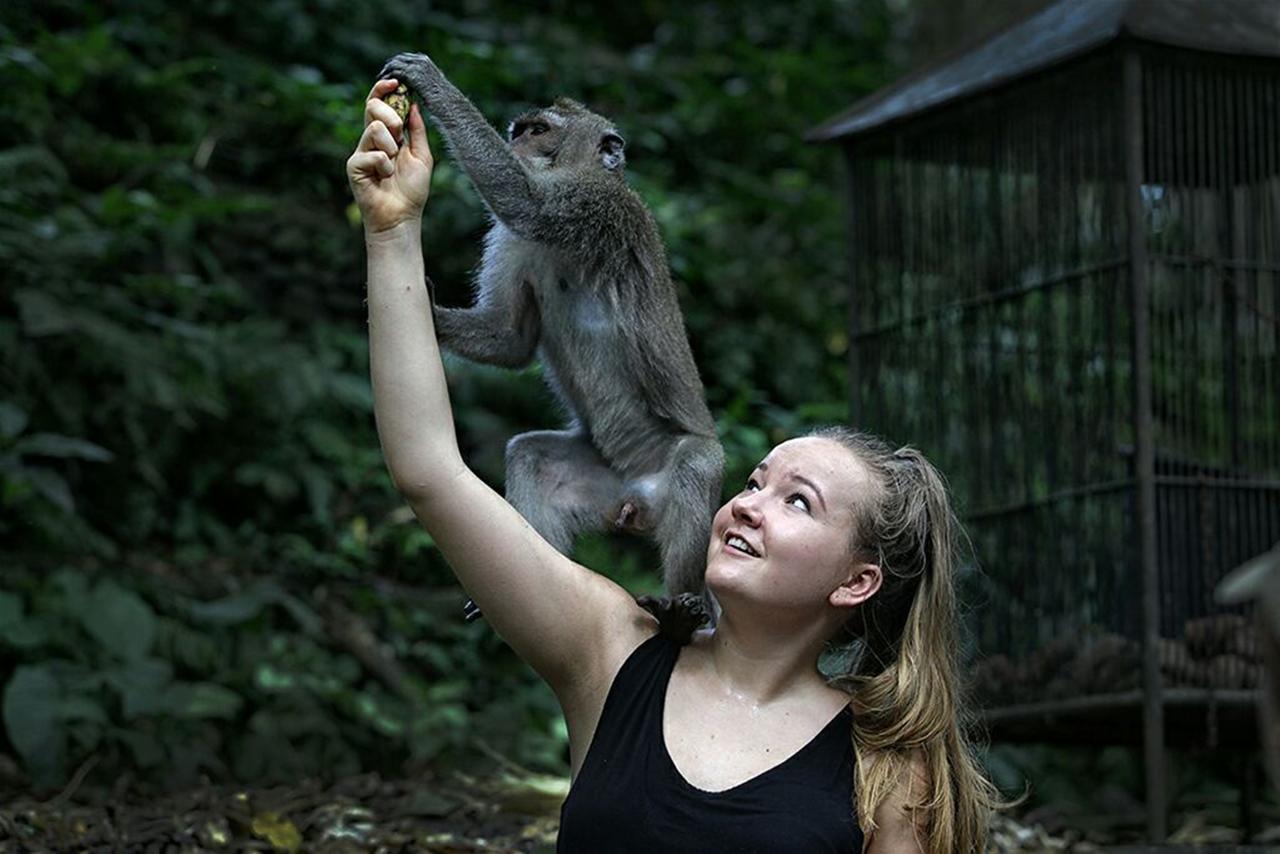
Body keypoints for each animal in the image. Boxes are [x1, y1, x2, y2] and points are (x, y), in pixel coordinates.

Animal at [373, 50, 727, 632]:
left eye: (538, 131)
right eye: (519, 130)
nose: (515, 144)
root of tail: (636, 498)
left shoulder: (595, 206)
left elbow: (527, 205)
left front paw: (431, 81)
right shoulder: (512, 244)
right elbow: (510, 337)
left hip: (671, 485)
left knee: (699, 460)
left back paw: (684, 609)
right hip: (601, 483)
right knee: (532, 455)